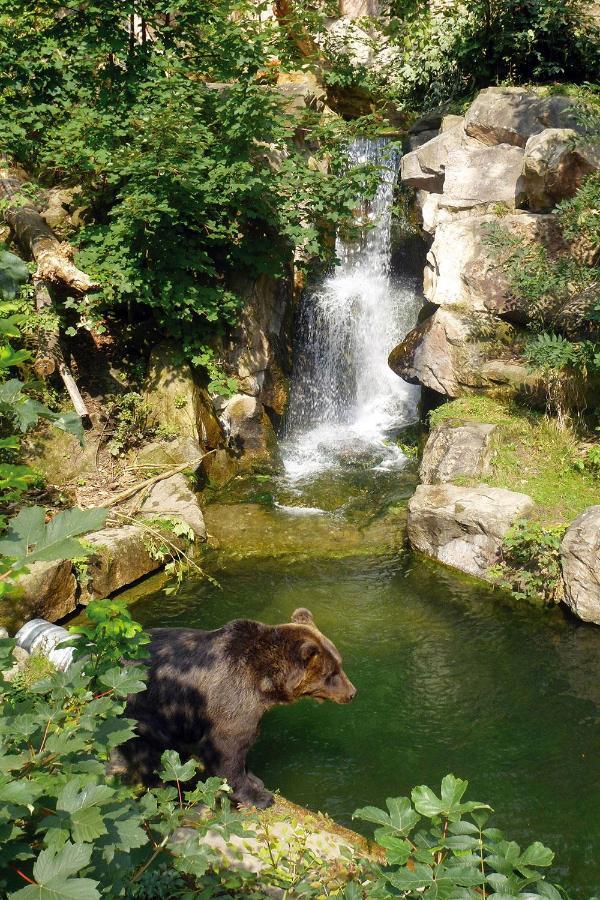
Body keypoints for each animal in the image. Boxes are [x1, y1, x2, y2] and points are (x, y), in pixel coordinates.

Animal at [115, 604, 354, 808]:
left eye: (339, 664)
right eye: (331, 673)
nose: (352, 693)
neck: (265, 683)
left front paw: (255, 779)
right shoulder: (231, 698)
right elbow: (227, 747)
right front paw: (259, 796)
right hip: (143, 711)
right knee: (150, 757)